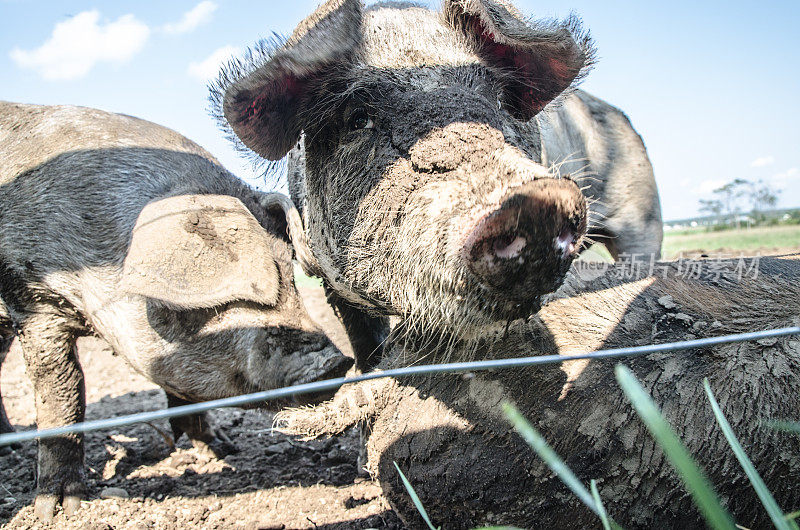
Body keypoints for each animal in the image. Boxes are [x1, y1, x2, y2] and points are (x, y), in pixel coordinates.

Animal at [0, 101, 352, 516]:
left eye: (290, 275)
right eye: (210, 303)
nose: (332, 364)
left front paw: (224, 448)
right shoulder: (34, 299)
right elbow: (62, 389)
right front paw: (60, 509)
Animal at [211, 0, 664, 370]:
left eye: (499, 100)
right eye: (357, 118)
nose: (538, 201)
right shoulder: (328, 278)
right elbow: (365, 342)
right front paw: (372, 371)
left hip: (643, 218)